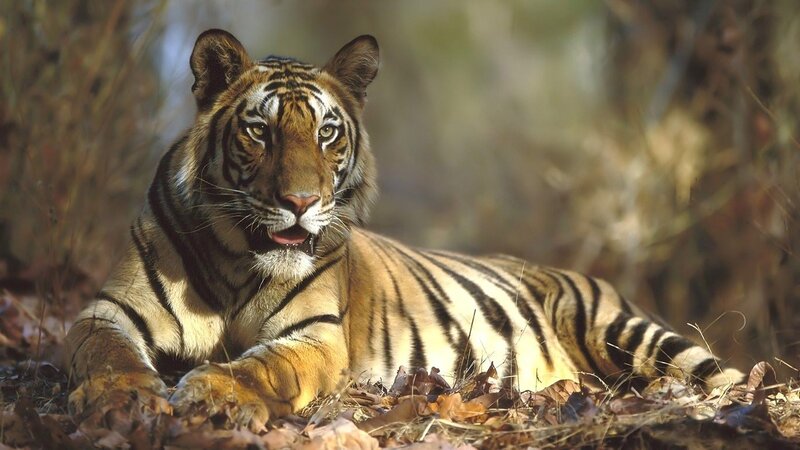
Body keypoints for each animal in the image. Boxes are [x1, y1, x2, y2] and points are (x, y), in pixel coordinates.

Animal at [65, 29, 745, 430]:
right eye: (259, 131)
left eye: (327, 133)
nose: (300, 202)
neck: (238, 259)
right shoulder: (108, 310)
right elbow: (103, 353)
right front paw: (122, 397)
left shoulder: (314, 335)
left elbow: (260, 367)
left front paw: (208, 391)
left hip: (631, 333)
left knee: (728, 380)